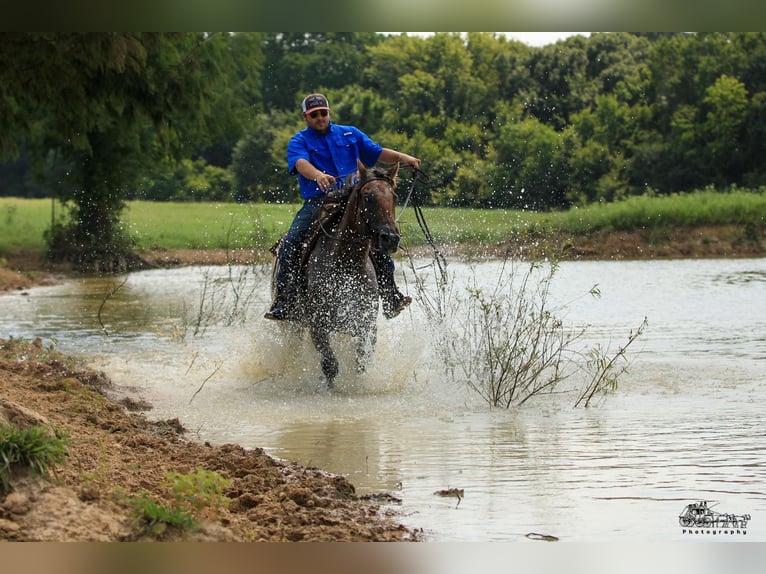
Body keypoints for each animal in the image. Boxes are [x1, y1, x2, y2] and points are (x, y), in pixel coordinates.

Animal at [272, 160, 402, 390]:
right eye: (367, 196)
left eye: (394, 197)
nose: (390, 238)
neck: (346, 265)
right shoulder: (318, 326)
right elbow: (330, 365)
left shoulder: (365, 326)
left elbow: (361, 361)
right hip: (293, 325)